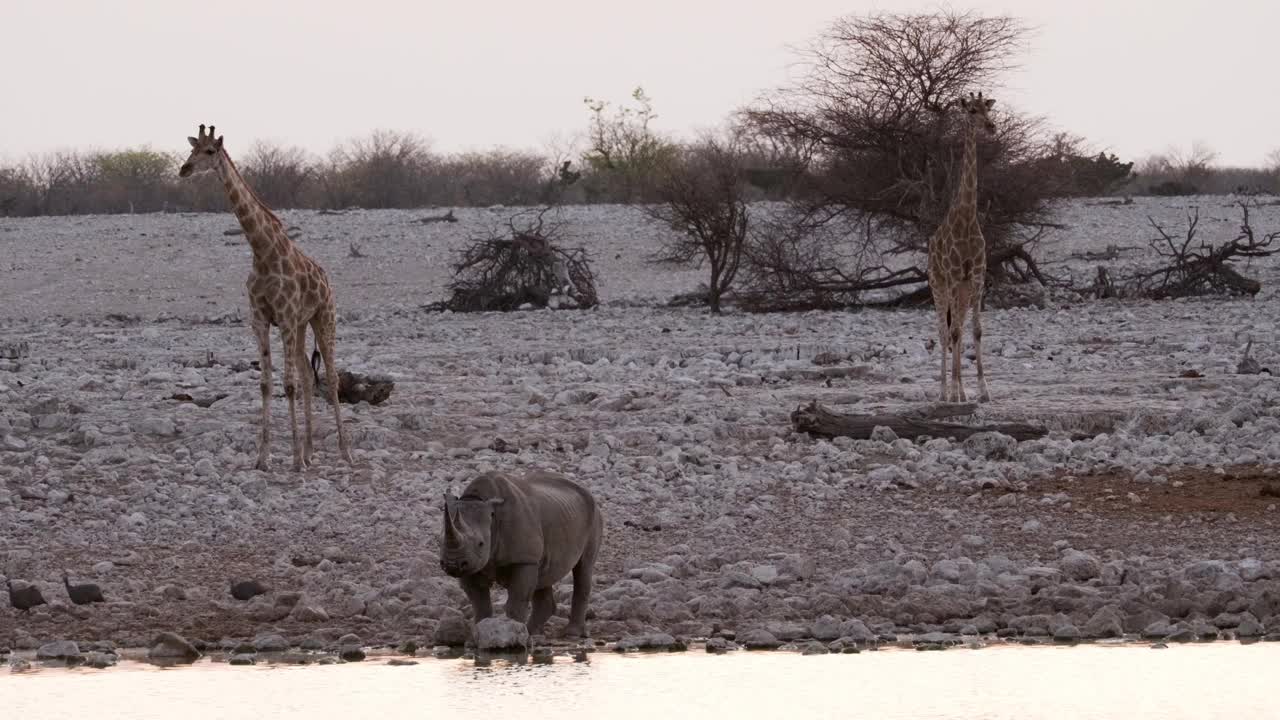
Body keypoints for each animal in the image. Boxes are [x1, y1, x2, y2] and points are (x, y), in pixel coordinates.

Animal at [177, 122, 353, 471]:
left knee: (331, 376)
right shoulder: (260, 320)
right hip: (301, 326)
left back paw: (344, 453)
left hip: (323, 318)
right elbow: (266, 384)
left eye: (210, 151)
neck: (262, 251)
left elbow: (288, 384)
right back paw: (311, 451)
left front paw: (294, 461)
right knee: (309, 376)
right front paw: (264, 457)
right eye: (191, 149)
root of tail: (326, 278)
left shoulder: (283, 318)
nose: (184, 169)